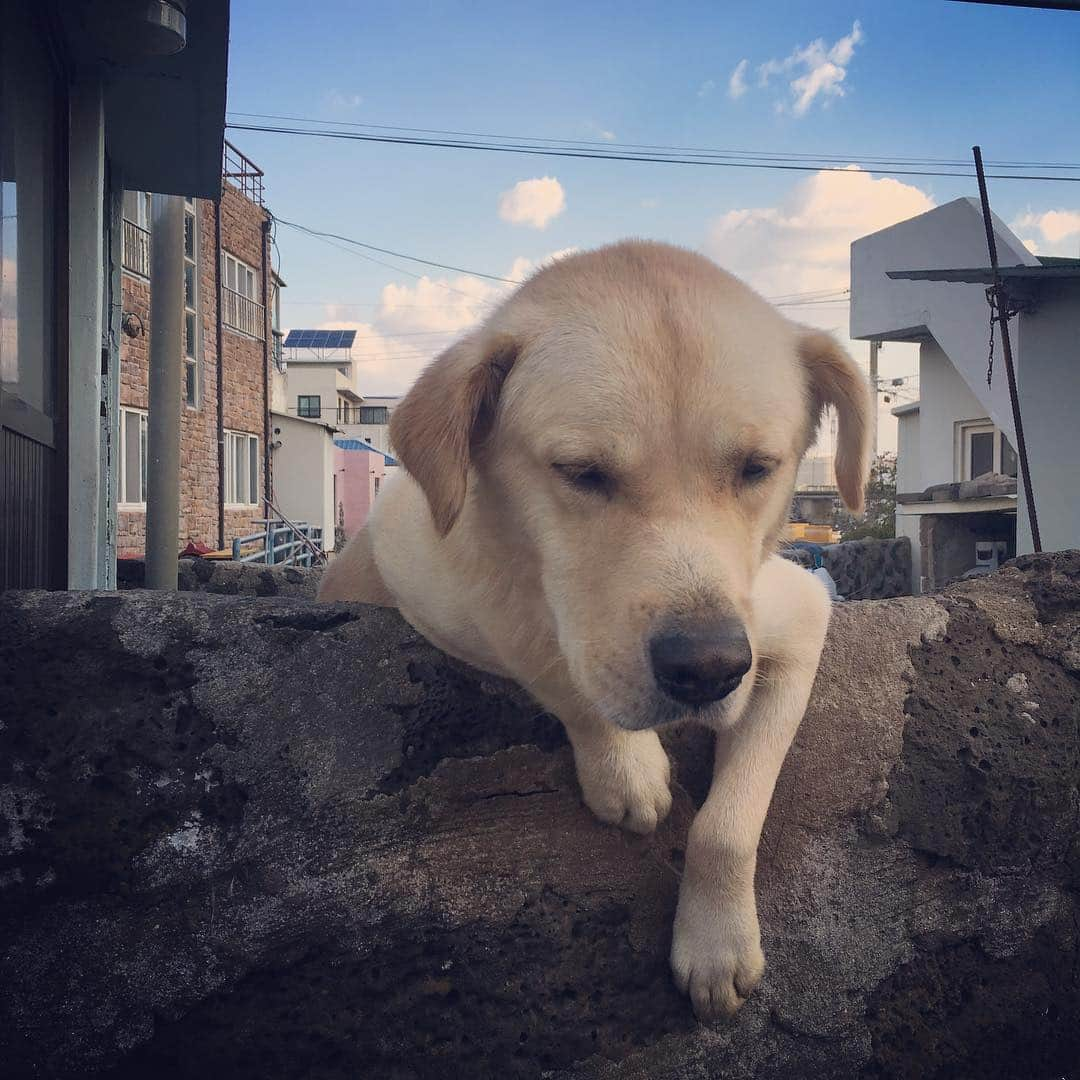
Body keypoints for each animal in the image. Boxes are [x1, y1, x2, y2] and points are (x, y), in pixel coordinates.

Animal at [317, 240, 868, 1015]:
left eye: (757, 468)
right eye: (581, 472)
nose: (706, 668)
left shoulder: (799, 616)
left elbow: (729, 822)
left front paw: (716, 943)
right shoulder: (433, 571)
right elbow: (548, 657)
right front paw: (624, 765)